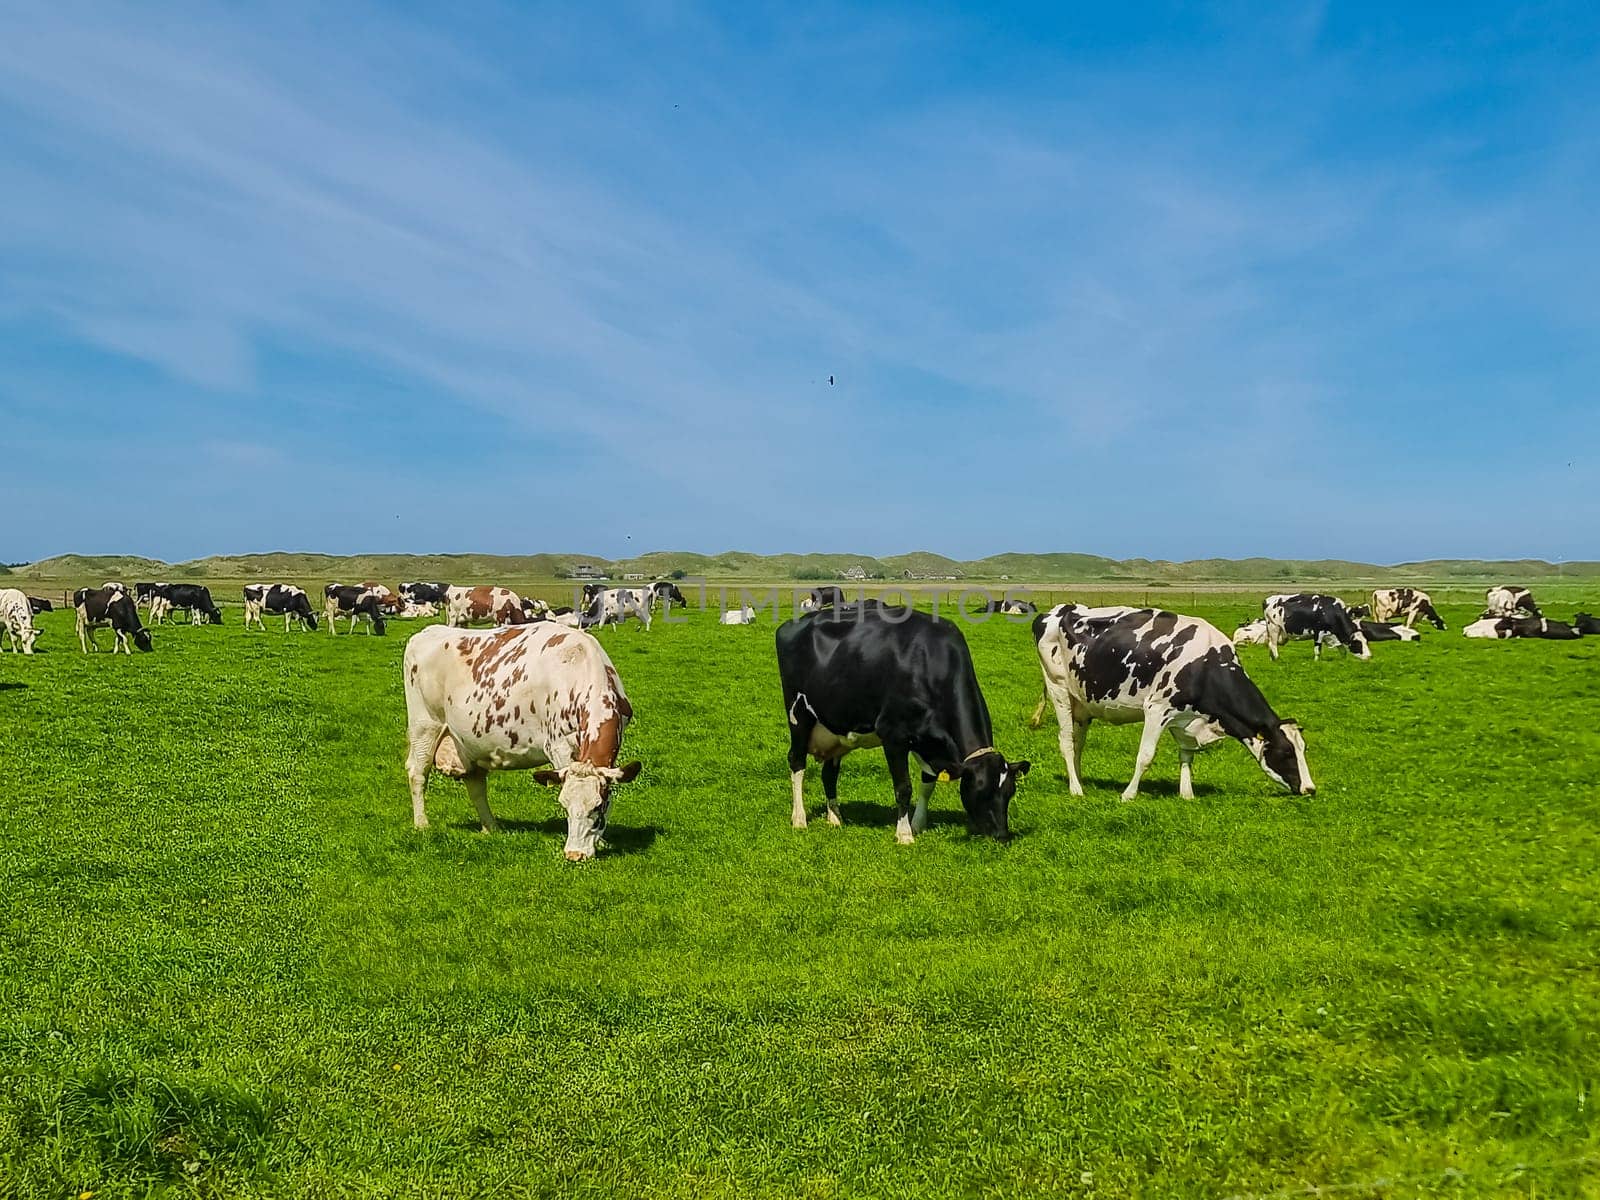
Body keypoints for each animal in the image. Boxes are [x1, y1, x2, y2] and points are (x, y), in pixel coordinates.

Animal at [403, 620, 640, 864]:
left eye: (598, 805)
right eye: (563, 804)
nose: (575, 854)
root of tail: (429, 631)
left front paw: (601, 841)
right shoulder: (558, 746)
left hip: (469, 743)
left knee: (475, 783)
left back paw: (491, 827)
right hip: (425, 724)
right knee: (417, 772)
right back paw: (422, 824)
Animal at [777, 601, 1030, 844]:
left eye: (1010, 792)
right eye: (981, 790)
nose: (1002, 835)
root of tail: (792, 623)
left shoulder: (928, 742)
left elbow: (928, 784)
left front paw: (918, 824)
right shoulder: (893, 736)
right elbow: (903, 787)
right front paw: (904, 833)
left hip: (835, 729)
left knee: (829, 773)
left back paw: (835, 817)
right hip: (798, 715)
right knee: (797, 762)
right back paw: (799, 818)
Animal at [1036, 604, 1312, 803]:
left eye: (1303, 749)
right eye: (1286, 752)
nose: (1310, 789)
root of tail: (1057, 610)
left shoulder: (1186, 716)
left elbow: (1187, 754)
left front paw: (1187, 793)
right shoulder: (1157, 709)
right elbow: (1145, 756)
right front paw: (1128, 794)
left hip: (1082, 702)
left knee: (1078, 742)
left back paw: (1078, 779)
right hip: (1059, 688)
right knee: (1066, 741)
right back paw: (1076, 789)